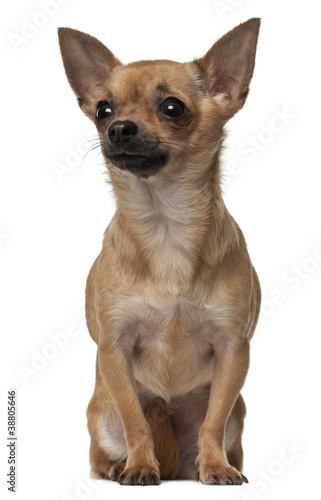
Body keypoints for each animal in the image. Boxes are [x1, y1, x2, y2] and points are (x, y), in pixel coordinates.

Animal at [58, 18, 260, 484]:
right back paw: (119, 465)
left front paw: (215, 466)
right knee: (103, 450)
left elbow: (213, 422)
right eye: (103, 110)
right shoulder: (114, 350)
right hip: (101, 415)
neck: (165, 227)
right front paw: (139, 466)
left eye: (172, 108)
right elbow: (135, 418)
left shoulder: (233, 350)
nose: (118, 128)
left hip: (237, 415)